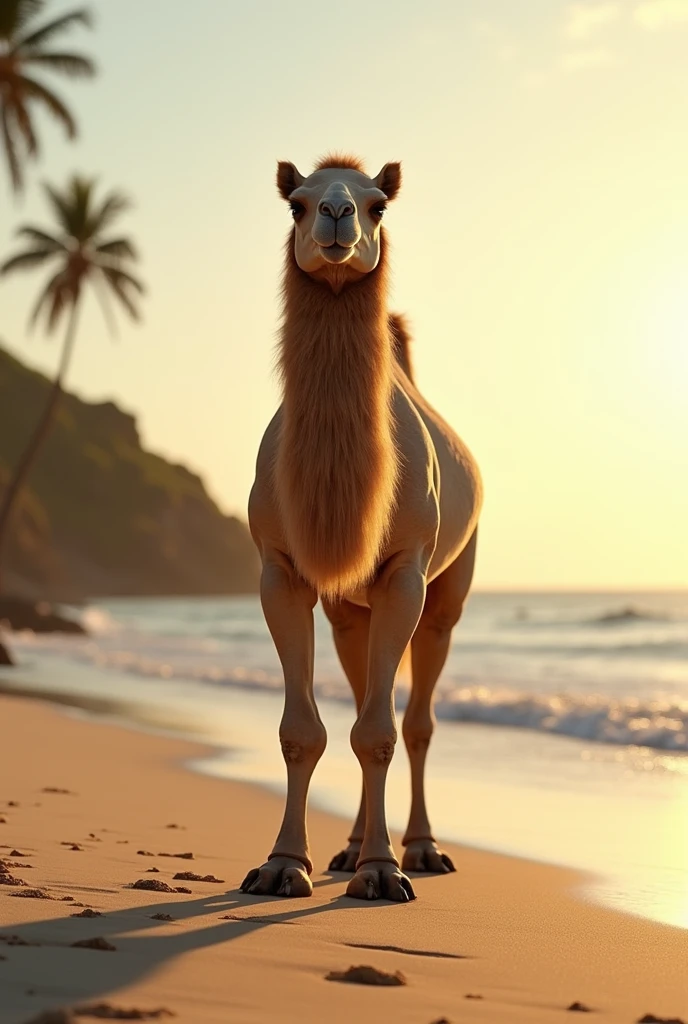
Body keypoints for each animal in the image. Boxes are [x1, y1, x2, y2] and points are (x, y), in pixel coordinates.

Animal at [244, 153, 481, 905]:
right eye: (296, 202)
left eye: (378, 204)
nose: (337, 215)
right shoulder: (281, 570)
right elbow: (302, 730)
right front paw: (282, 865)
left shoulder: (405, 571)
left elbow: (380, 732)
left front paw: (384, 872)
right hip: (351, 610)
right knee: (356, 697)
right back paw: (348, 849)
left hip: (446, 593)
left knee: (417, 720)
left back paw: (421, 850)